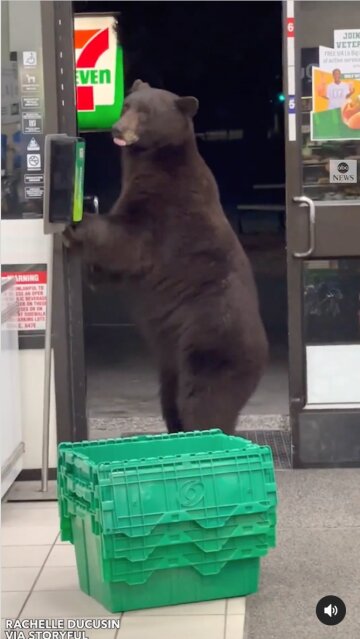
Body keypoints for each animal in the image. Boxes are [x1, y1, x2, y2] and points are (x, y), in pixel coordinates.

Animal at [64, 80, 268, 436]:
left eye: (145, 113)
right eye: (126, 105)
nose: (117, 129)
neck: (157, 161)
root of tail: (263, 354)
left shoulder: (167, 209)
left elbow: (129, 241)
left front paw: (75, 223)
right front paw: (92, 272)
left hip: (210, 346)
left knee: (204, 403)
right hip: (173, 364)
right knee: (171, 402)